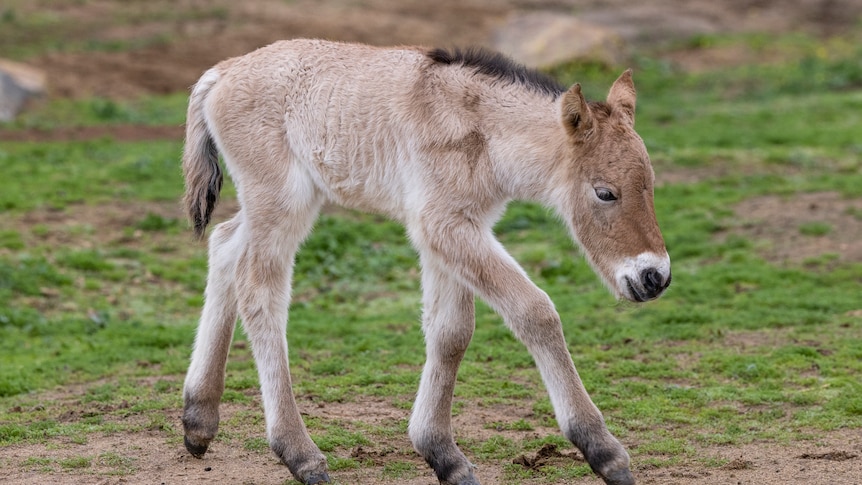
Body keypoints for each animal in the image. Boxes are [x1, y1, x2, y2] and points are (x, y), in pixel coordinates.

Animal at [182, 38, 672, 484]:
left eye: (650, 183)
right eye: (605, 192)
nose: (655, 277)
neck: (481, 130)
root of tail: (222, 72)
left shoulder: (455, 229)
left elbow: (450, 332)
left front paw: (442, 454)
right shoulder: (443, 225)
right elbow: (535, 312)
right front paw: (603, 451)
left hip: (279, 203)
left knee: (224, 245)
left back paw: (198, 420)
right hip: (281, 200)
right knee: (259, 293)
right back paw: (299, 454)